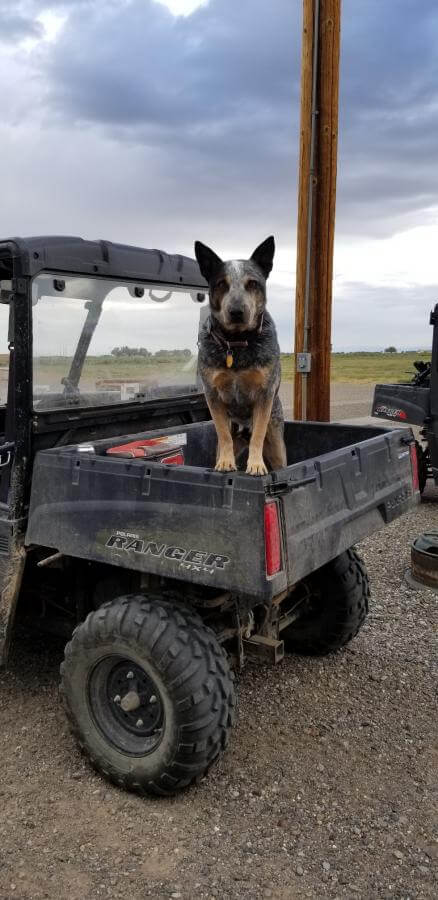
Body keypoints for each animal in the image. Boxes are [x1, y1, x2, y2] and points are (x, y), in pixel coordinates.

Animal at [193, 239, 286, 478]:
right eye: (221, 284)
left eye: (252, 283)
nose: (236, 311)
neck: (236, 343)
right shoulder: (213, 395)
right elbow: (223, 434)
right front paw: (226, 463)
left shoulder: (264, 395)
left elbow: (258, 436)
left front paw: (256, 465)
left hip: (277, 445)